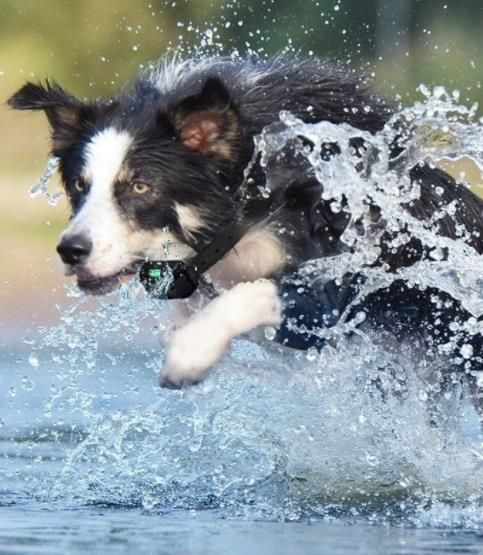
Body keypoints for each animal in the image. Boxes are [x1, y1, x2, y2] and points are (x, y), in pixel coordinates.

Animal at [8, 56, 483, 390]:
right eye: (79, 186)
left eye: (140, 187)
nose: (70, 250)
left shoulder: (332, 293)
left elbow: (252, 294)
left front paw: (193, 351)